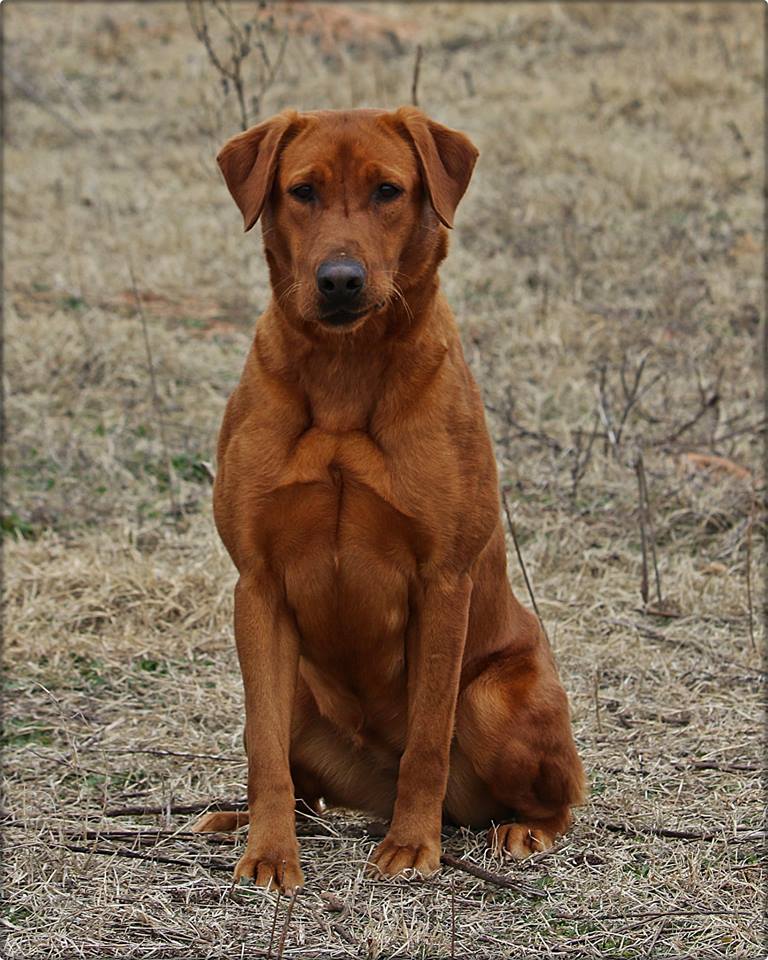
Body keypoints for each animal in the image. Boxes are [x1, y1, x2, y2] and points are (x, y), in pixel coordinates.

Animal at [195, 109, 584, 888]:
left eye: (387, 191)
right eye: (302, 191)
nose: (340, 280)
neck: (346, 372)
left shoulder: (442, 582)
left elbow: (428, 737)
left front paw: (411, 845)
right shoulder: (257, 584)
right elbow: (262, 748)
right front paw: (269, 853)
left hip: (495, 697)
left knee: (560, 793)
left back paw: (525, 830)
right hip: (301, 696)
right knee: (293, 770)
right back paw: (234, 819)